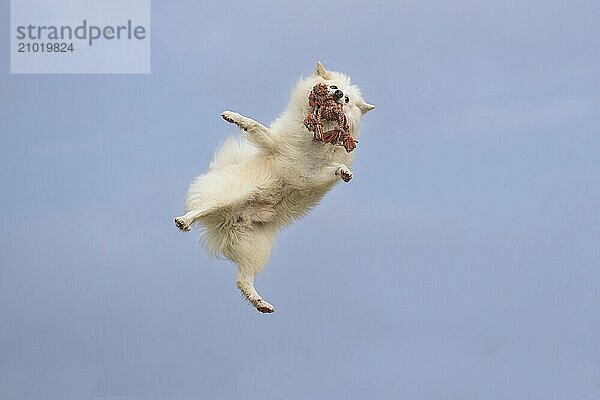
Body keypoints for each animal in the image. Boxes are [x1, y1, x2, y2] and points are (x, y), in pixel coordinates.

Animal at [173, 62, 372, 312]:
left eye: (345, 99)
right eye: (334, 88)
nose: (336, 95)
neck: (319, 136)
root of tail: (232, 219)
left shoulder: (313, 174)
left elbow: (334, 168)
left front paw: (344, 172)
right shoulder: (283, 151)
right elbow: (254, 125)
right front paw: (233, 117)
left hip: (255, 249)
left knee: (242, 280)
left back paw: (260, 302)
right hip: (231, 196)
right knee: (202, 208)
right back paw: (184, 220)